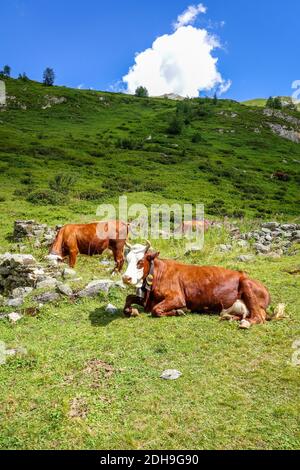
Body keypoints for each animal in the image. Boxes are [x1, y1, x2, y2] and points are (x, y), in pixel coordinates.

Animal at [122, 242, 272, 326]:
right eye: (126, 260)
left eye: (140, 262)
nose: (125, 278)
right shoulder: (147, 300)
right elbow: (129, 298)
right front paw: (132, 310)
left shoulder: (177, 297)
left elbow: (156, 310)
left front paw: (179, 311)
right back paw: (229, 317)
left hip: (247, 284)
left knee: (258, 317)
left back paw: (245, 323)